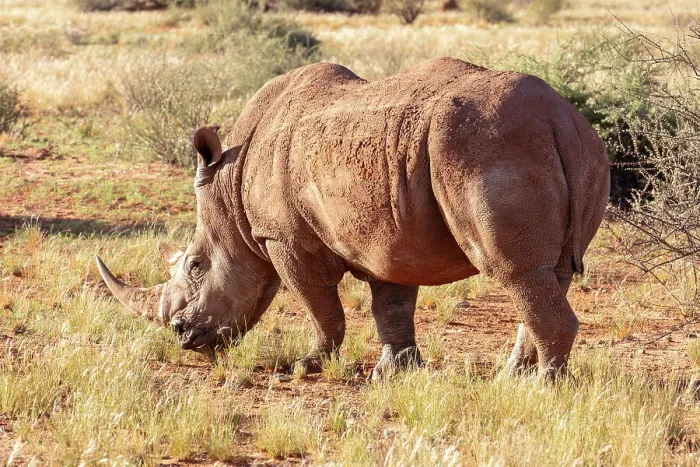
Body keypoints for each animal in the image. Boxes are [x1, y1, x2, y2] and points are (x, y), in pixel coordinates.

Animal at [96, 58, 609, 379]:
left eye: (196, 265)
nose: (182, 336)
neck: (230, 188)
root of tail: (560, 118)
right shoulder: (390, 238)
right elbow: (392, 305)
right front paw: (396, 371)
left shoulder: (283, 238)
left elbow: (320, 305)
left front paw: (305, 367)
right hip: (579, 150)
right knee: (548, 274)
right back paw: (511, 379)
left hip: (484, 146)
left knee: (516, 272)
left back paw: (543, 388)